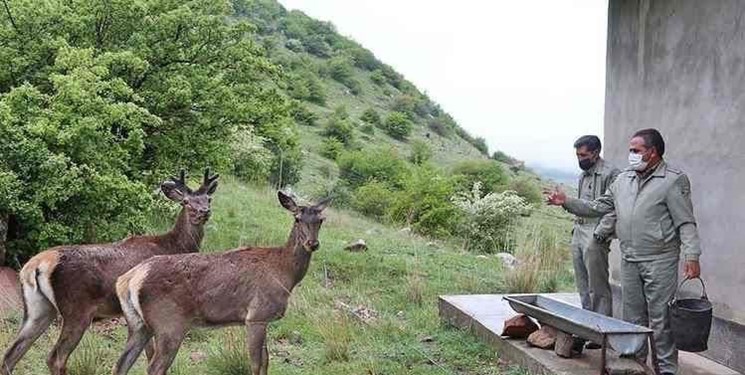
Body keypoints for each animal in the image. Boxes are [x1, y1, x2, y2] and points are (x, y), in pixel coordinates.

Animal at [1, 170, 218, 375]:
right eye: (186, 201)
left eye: (208, 198)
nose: (204, 212)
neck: (174, 246)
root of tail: (35, 265)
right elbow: (151, 355)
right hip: (77, 309)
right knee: (55, 358)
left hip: (38, 308)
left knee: (11, 354)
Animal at [112, 192, 328, 375]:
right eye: (297, 218)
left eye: (320, 220)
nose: (312, 244)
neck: (285, 274)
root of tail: (128, 279)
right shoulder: (256, 316)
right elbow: (256, 364)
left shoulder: (264, 319)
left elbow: (266, 362)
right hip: (169, 324)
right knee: (154, 367)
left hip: (138, 324)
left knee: (120, 364)